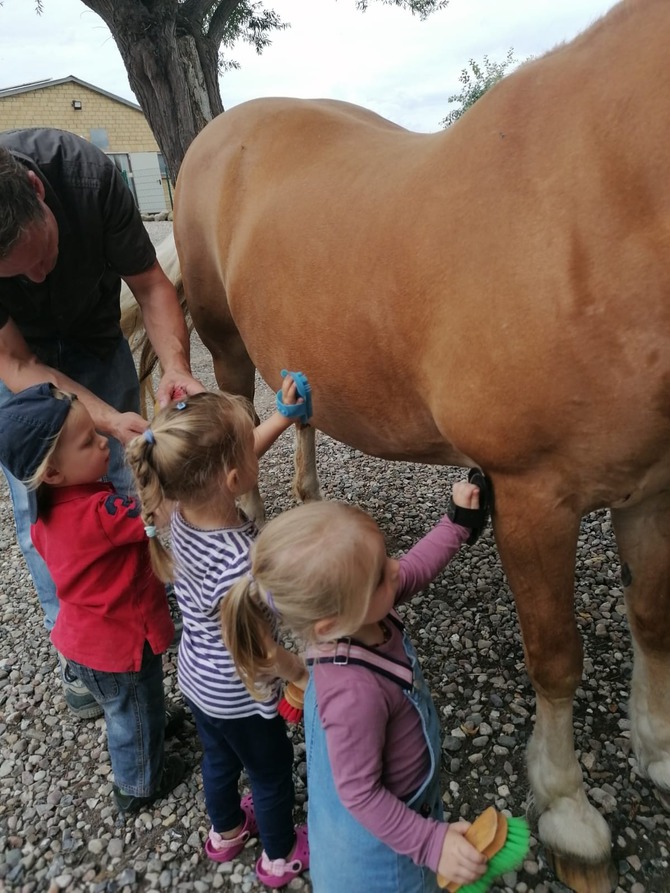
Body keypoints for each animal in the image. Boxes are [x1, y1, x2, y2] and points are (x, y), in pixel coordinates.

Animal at [154, 3, 670, 888]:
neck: (601, 193)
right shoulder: (534, 494)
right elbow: (556, 655)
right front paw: (569, 811)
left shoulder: (650, 486)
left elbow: (650, 614)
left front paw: (657, 747)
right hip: (224, 340)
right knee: (237, 427)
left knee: (299, 412)